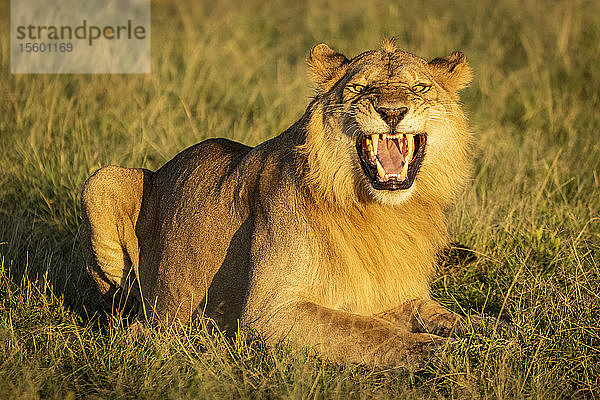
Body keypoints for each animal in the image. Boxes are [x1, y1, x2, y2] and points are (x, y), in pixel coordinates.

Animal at [82, 39, 480, 368]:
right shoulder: (269, 315)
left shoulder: (385, 292)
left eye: (420, 87)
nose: (393, 112)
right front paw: (442, 350)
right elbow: (367, 330)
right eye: (359, 88)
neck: (379, 210)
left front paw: (483, 328)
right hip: (102, 179)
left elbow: (431, 310)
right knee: (123, 309)